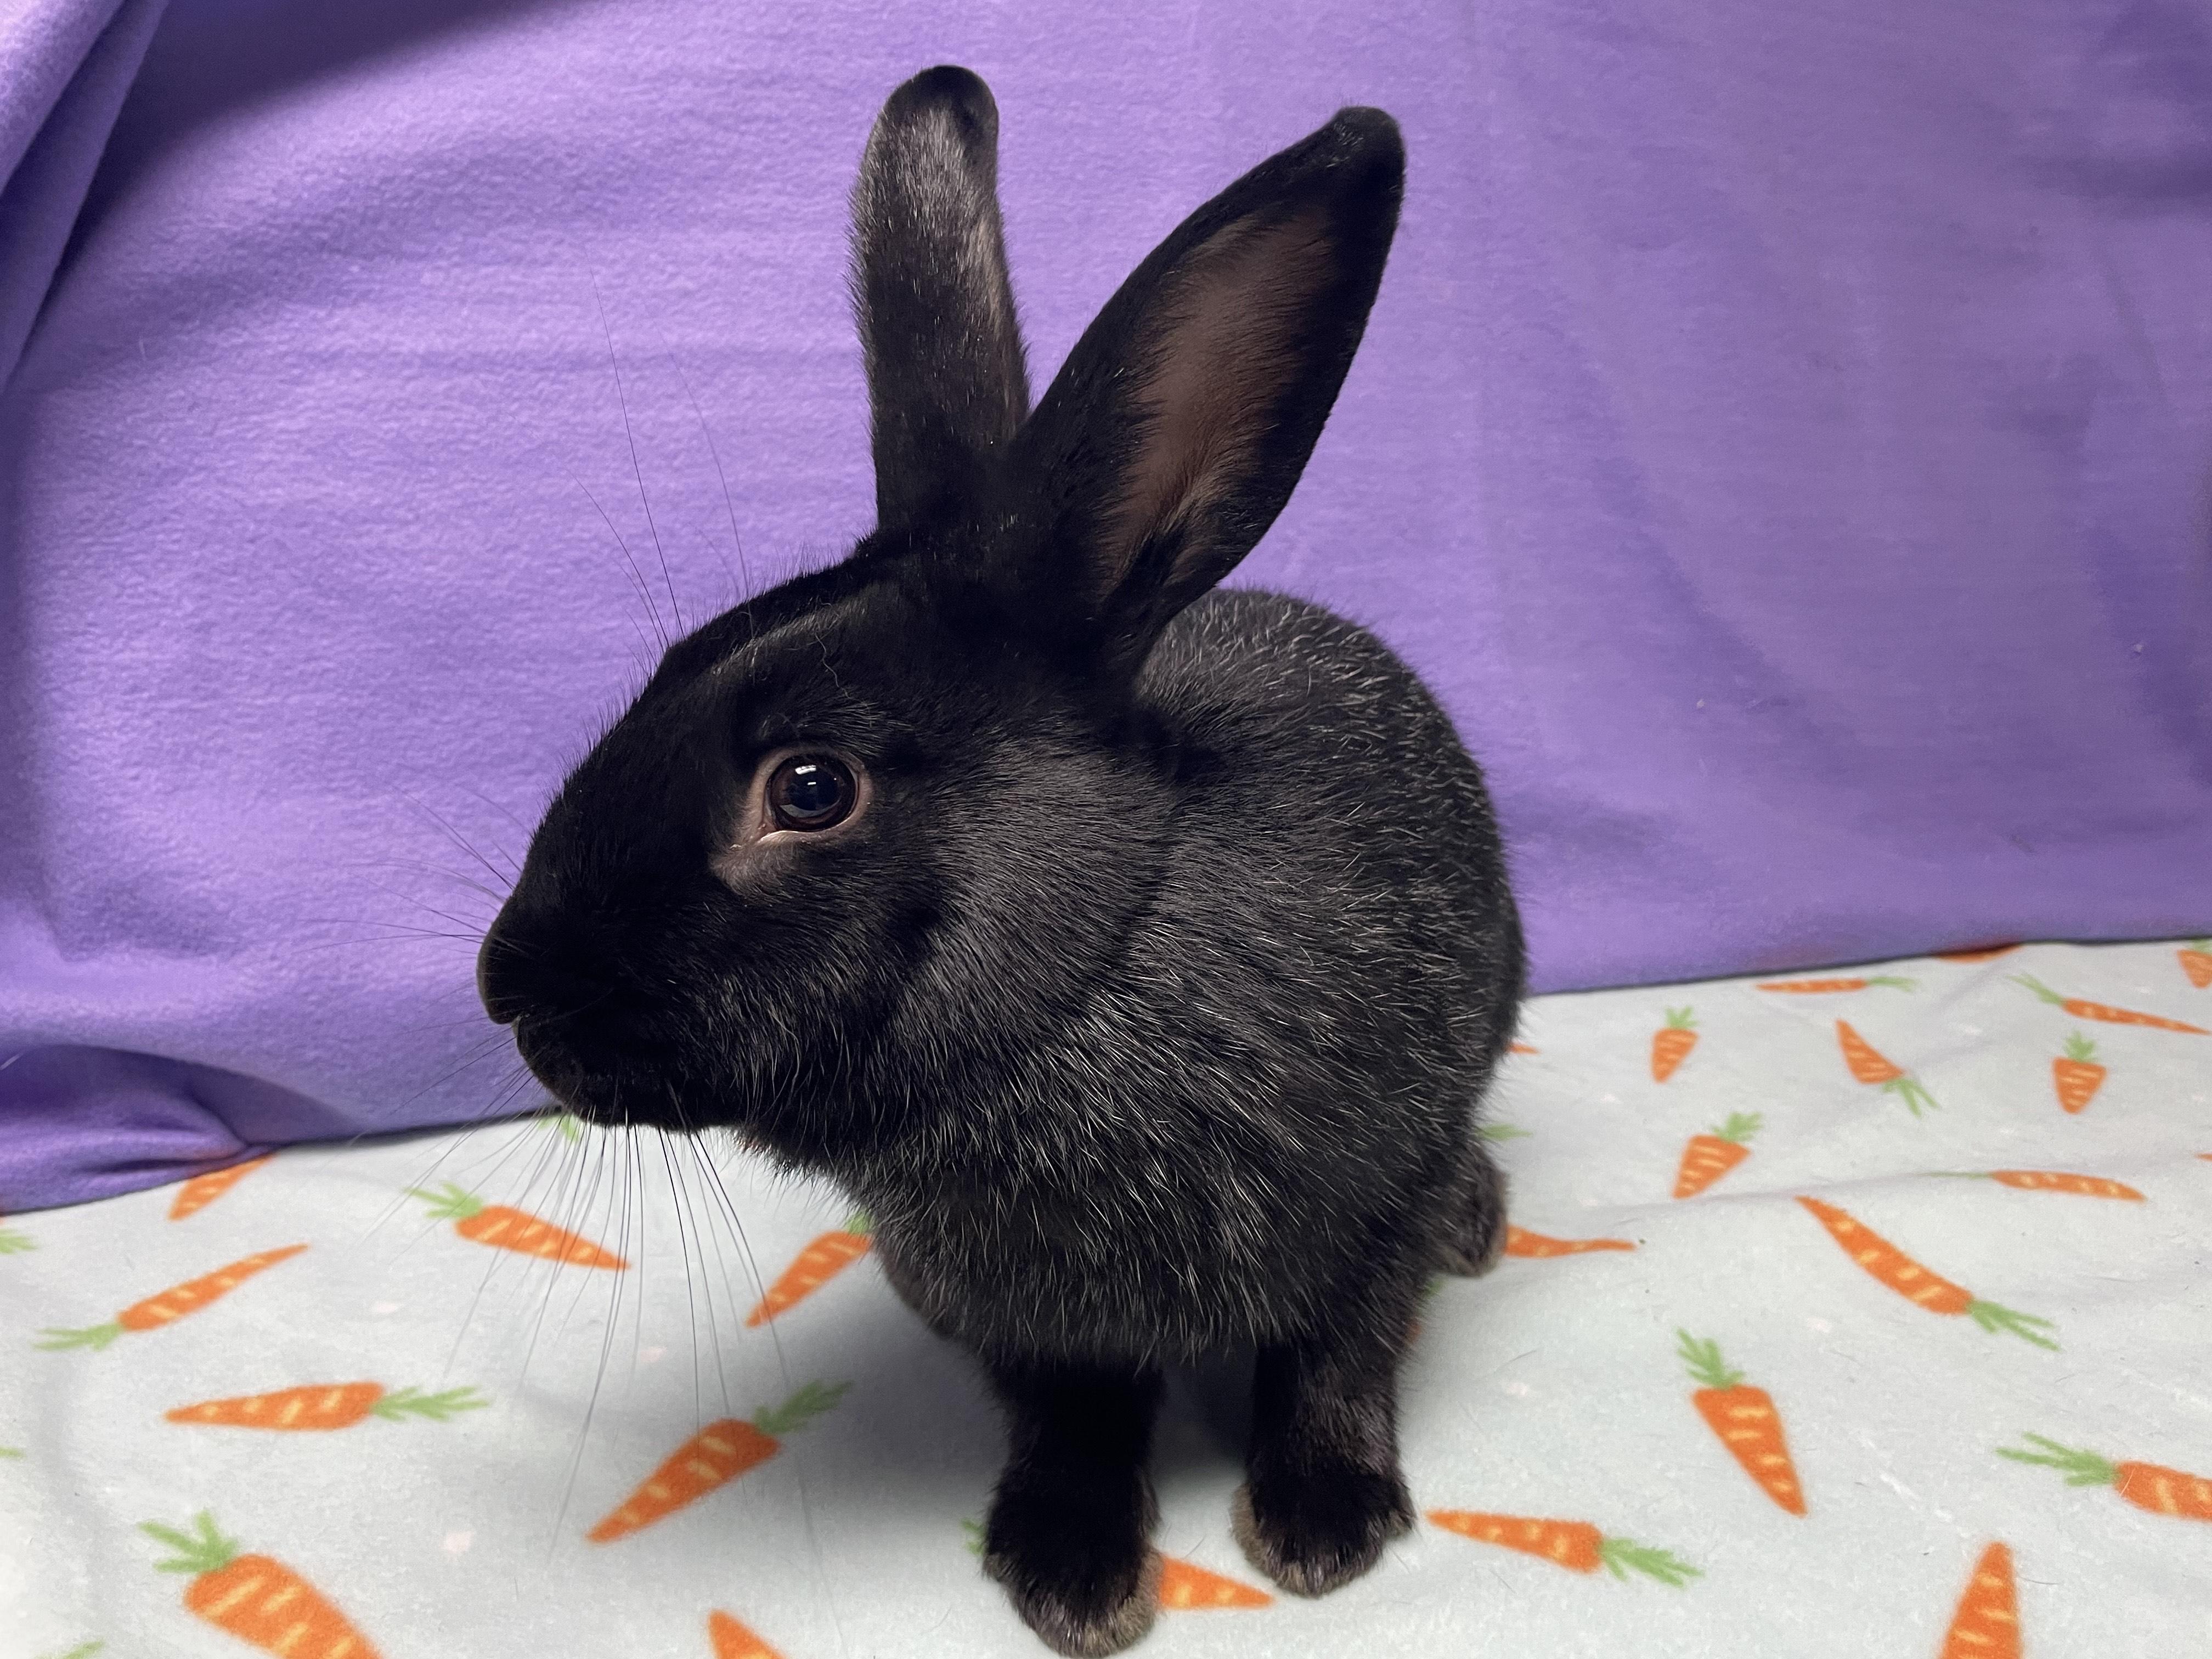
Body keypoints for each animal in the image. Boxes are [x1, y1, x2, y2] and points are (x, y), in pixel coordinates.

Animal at [477, 64, 1522, 1658]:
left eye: (810, 788)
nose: (509, 990)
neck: (1082, 1004)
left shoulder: (1371, 1203)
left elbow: (1335, 1357)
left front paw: (1322, 1526)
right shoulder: (1040, 1323)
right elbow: (1078, 1415)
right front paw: (1070, 1571)